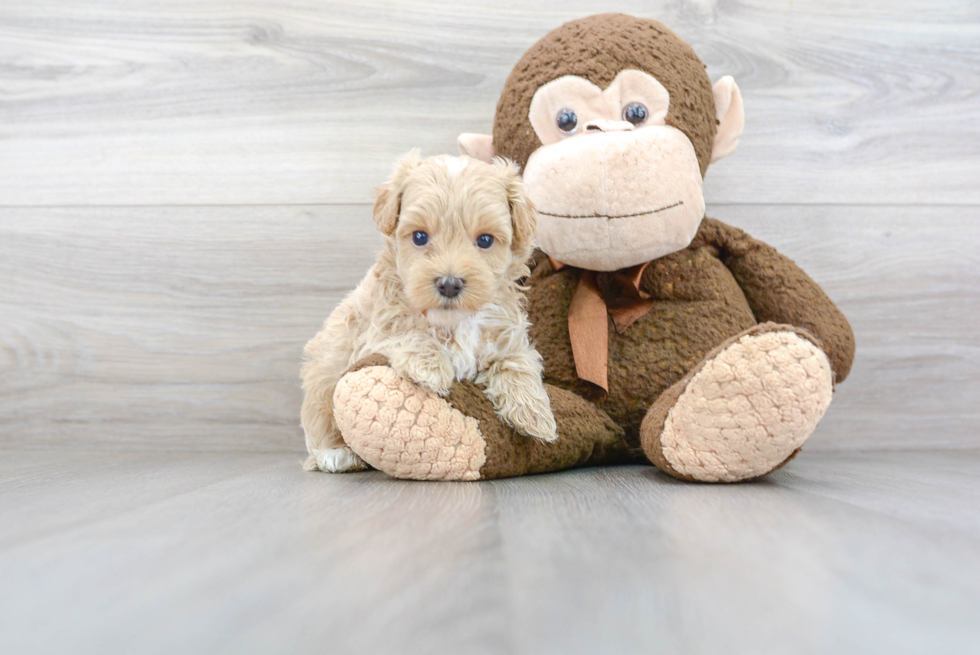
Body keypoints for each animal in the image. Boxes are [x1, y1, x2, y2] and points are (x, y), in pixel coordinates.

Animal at [298, 152, 560, 474]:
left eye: (485, 240)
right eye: (420, 237)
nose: (449, 283)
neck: (454, 321)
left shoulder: (506, 334)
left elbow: (517, 362)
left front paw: (535, 415)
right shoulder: (375, 331)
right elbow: (406, 330)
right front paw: (430, 369)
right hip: (322, 380)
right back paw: (336, 454)